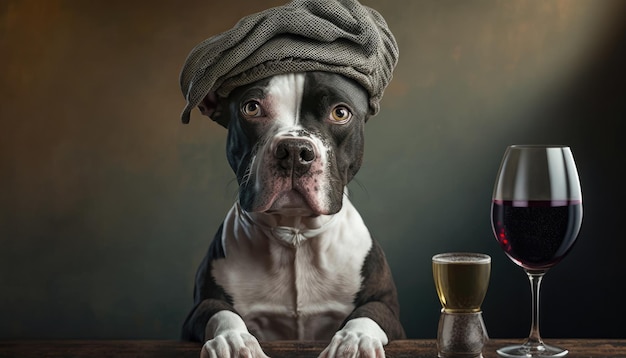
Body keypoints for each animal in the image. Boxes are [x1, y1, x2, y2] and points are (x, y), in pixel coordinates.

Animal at [180, 70, 404, 358]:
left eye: (340, 113)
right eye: (251, 108)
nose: (295, 151)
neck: (296, 233)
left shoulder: (387, 309)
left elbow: (368, 314)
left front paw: (354, 342)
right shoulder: (197, 311)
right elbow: (221, 313)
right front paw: (233, 341)